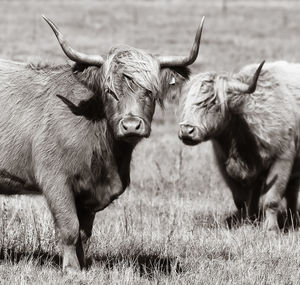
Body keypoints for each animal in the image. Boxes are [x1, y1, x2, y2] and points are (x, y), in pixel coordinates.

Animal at [0, 16, 205, 270]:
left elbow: (84, 233)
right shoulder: (55, 180)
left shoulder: (90, 191)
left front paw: (83, 265)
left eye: (149, 91)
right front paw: (71, 269)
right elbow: (69, 228)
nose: (131, 125)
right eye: (109, 92)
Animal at [178, 61, 300, 230]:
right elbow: (241, 200)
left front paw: (270, 229)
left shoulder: (283, 159)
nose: (186, 130)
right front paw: (246, 224)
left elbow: (272, 199)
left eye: (212, 102)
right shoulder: (225, 165)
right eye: (187, 102)